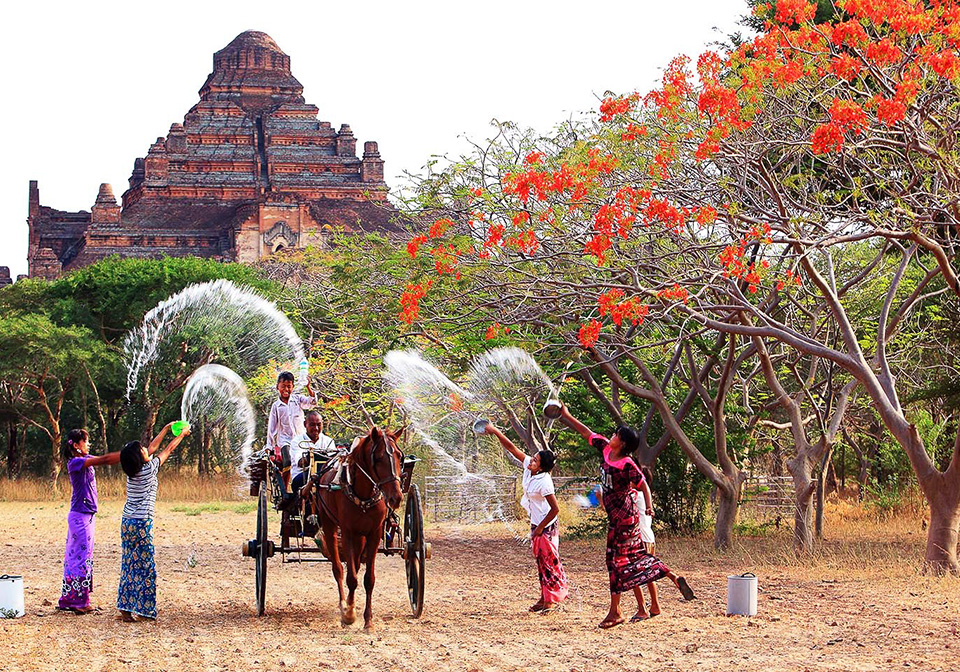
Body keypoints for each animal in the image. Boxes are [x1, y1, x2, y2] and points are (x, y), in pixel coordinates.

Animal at [310, 426, 404, 632]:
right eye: (378, 458)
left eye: (400, 456)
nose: (396, 497)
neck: (363, 494)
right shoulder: (347, 532)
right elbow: (351, 577)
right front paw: (349, 614)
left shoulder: (374, 534)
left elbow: (369, 579)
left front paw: (368, 620)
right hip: (330, 525)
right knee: (338, 568)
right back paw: (343, 604)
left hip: (361, 536)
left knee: (356, 564)